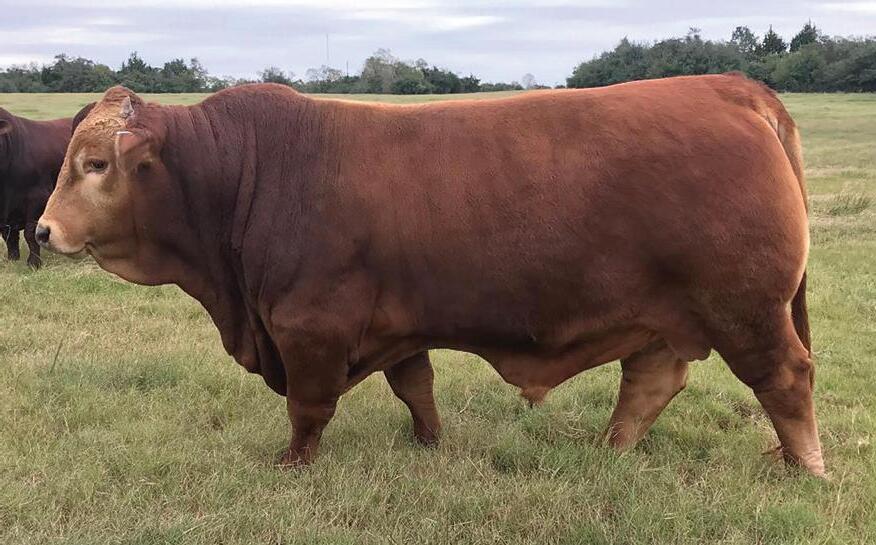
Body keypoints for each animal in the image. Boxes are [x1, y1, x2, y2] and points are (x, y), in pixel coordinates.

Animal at [36, 74, 824, 476]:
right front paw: (431, 443)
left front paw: (291, 464)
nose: (43, 230)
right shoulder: (395, 324)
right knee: (652, 380)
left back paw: (805, 467)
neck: (245, 172)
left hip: (745, 309)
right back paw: (610, 451)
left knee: (784, 378)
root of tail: (730, 88)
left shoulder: (310, 328)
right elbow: (415, 385)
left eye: (95, 163)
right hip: (665, 315)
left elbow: (308, 408)